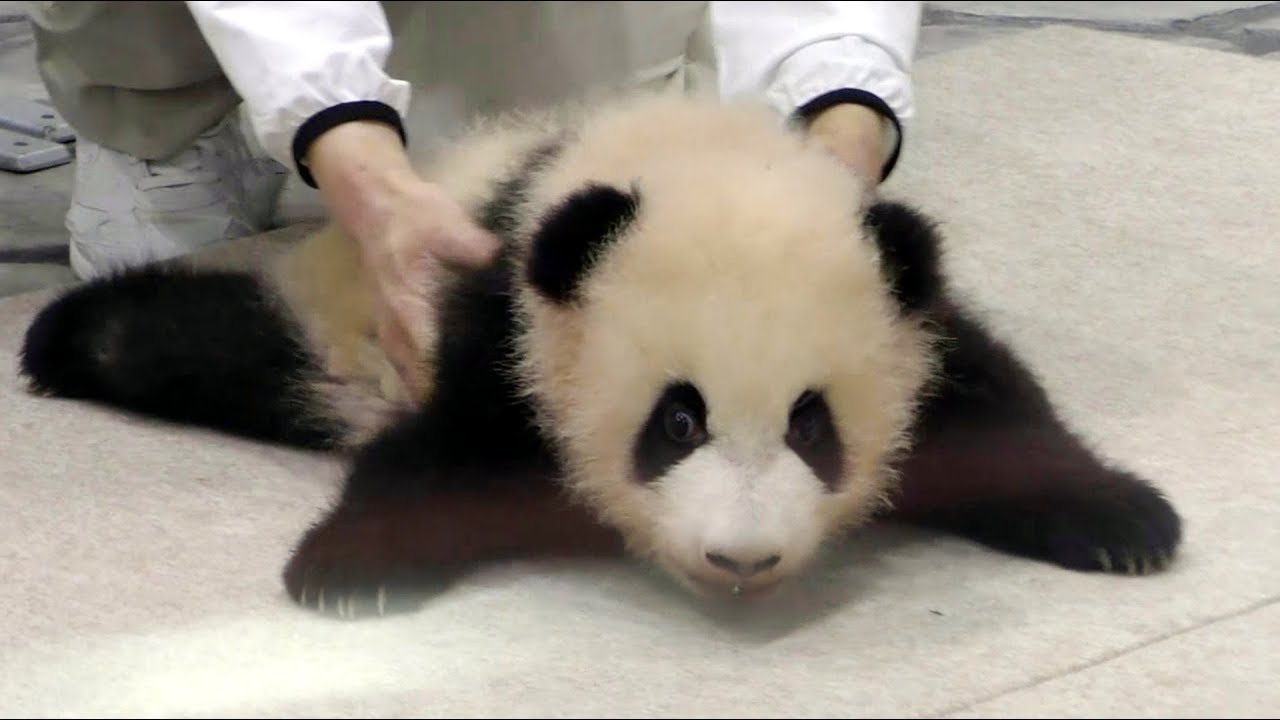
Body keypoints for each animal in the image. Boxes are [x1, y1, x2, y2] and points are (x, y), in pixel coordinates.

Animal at [17, 91, 1182, 618]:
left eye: (812, 425)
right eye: (677, 420)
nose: (742, 559)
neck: (693, 152)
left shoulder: (914, 322)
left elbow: (997, 417)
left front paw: (1125, 525)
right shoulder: (507, 314)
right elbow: (440, 449)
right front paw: (349, 570)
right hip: (344, 337)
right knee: (199, 348)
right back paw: (64, 331)